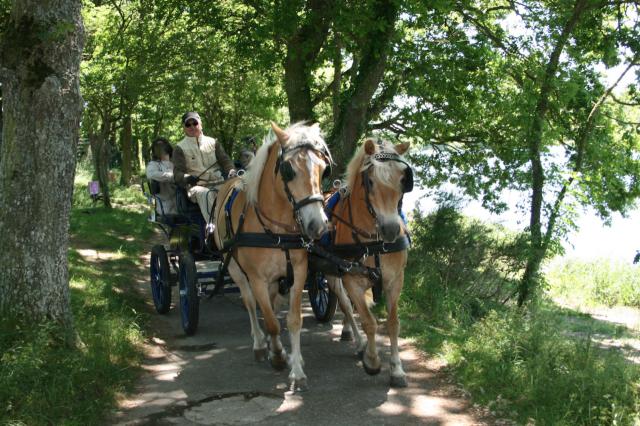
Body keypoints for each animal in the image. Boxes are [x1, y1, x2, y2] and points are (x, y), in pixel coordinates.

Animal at [214, 121, 332, 392]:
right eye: (288, 170)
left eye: (323, 169)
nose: (318, 226)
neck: (277, 229)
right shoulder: (256, 278)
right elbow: (270, 321)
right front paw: (276, 354)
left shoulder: (298, 272)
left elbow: (293, 320)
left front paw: (296, 368)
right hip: (235, 269)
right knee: (249, 302)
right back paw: (260, 344)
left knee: (272, 303)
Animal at [322, 138, 412, 388]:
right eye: (370, 181)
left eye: (404, 179)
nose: (391, 229)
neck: (374, 241)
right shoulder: (351, 279)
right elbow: (368, 321)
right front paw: (372, 360)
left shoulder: (395, 280)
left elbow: (393, 323)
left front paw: (397, 369)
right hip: (332, 273)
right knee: (345, 303)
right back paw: (360, 343)